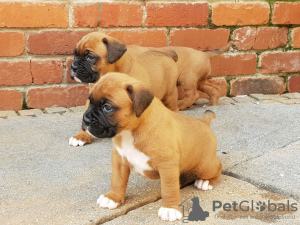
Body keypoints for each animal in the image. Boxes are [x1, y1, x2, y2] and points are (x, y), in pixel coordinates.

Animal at [81, 73, 221, 222]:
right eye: (89, 101)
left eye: (107, 107)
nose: (86, 119)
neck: (131, 131)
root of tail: (203, 122)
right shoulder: (119, 159)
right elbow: (117, 180)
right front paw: (113, 197)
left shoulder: (167, 165)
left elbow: (169, 188)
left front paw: (170, 208)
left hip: (205, 166)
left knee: (217, 168)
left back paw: (205, 182)